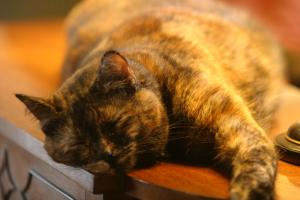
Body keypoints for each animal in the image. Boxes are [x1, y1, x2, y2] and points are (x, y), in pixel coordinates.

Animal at [14, 0, 286, 199]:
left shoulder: (231, 120)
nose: (106, 154)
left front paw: (249, 191)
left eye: (115, 125)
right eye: (79, 143)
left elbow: (255, 152)